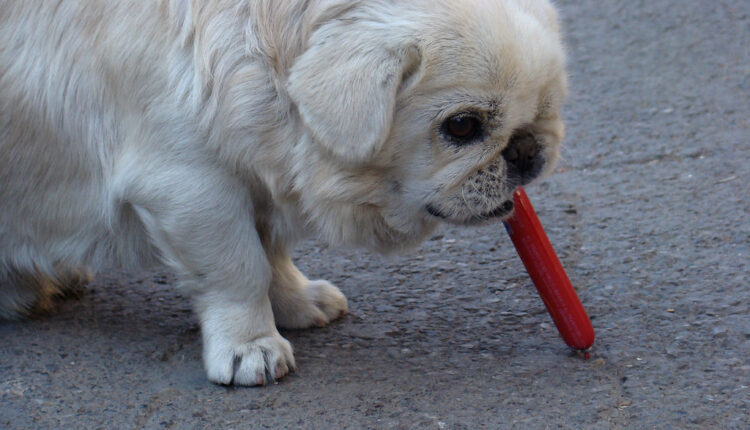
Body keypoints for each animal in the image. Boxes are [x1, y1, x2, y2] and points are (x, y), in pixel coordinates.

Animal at [0, 0, 564, 384]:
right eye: (463, 126)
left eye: (546, 109)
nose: (526, 150)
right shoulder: (192, 187)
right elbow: (239, 271)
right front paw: (251, 348)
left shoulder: (255, 182)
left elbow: (272, 258)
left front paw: (297, 304)